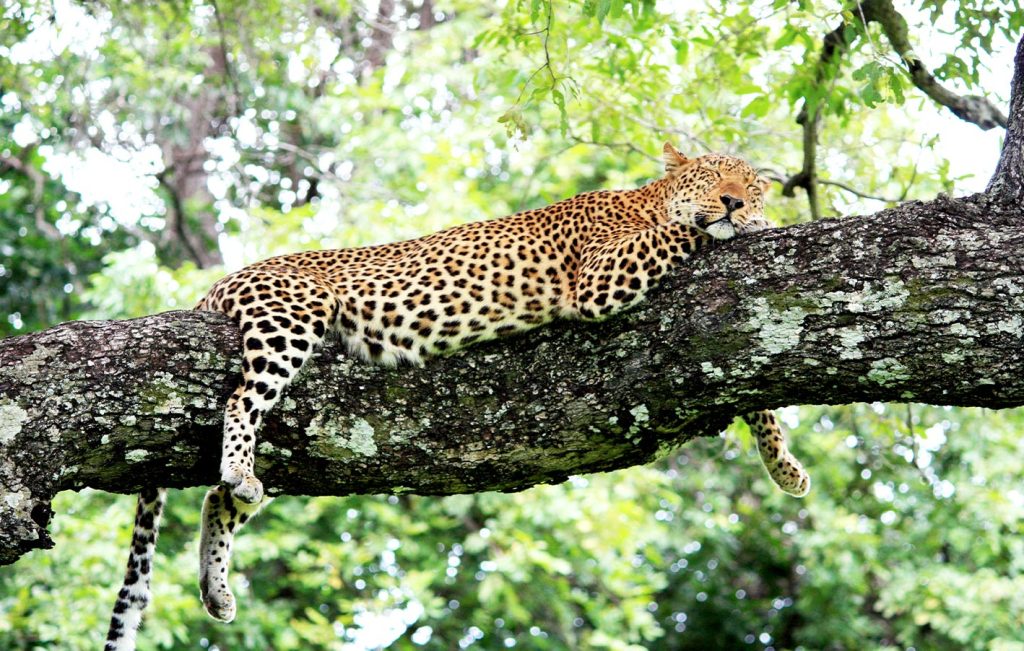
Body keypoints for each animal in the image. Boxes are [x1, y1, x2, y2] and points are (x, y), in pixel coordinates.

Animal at [103, 143, 809, 650]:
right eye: (715, 175)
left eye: (750, 182)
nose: (734, 202)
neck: (646, 199)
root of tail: (222, 282)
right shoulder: (601, 277)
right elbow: (686, 236)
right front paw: (734, 225)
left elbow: (753, 390)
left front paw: (785, 469)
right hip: (289, 323)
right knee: (239, 404)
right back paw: (239, 471)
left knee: (217, 500)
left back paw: (218, 581)